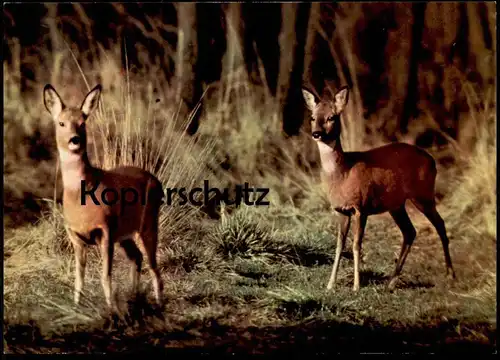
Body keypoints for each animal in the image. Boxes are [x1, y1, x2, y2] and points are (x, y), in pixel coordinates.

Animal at [43, 83, 164, 306]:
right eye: (61, 123)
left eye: (82, 123)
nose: (74, 140)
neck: (80, 198)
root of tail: (156, 180)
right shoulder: (75, 236)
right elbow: (79, 278)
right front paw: (76, 306)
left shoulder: (105, 230)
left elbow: (105, 276)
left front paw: (111, 309)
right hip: (125, 234)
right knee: (137, 257)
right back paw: (134, 297)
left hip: (148, 223)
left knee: (154, 267)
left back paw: (159, 304)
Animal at [300, 86, 458, 292]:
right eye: (312, 117)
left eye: (331, 117)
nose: (316, 133)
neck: (344, 172)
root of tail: (432, 160)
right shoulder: (340, 210)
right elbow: (339, 245)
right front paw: (330, 284)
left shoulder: (361, 207)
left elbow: (356, 245)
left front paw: (356, 286)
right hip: (396, 204)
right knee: (410, 232)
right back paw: (391, 282)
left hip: (423, 194)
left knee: (440, 224)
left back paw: (450, 275)